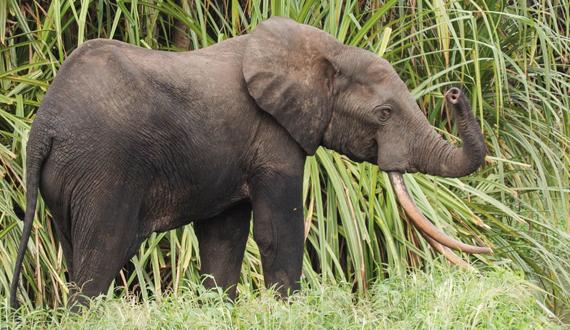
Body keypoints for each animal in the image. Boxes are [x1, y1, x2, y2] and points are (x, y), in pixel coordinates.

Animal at [7, 16, 488, 308]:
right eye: (384, 114)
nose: (455, 92)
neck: (326, 50)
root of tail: (43, 127)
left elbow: (224, 238)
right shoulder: (273, 136)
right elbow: (278, 232)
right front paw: (290, 310)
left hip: (69, 176)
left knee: (75, 252)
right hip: (104, 167)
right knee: (101, 255)